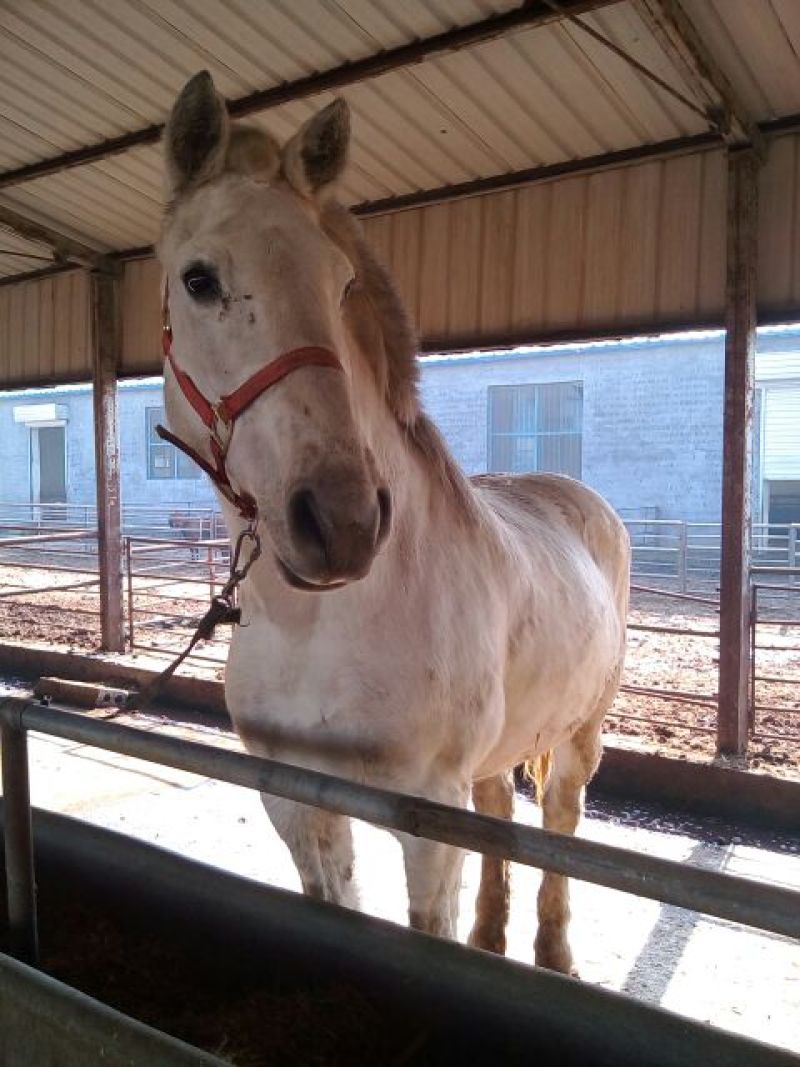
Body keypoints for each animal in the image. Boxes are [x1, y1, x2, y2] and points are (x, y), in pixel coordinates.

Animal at [158, 71, 629, 975]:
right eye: (198, 279)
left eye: (342, 284)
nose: (341, 522)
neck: (320, 625)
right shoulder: (294, 801)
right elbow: (336, 898)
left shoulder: (427, 820)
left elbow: (428, 926)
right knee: (503, 816)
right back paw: (493, 938)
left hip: (581, 735)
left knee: (560, 821)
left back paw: (553, 953)